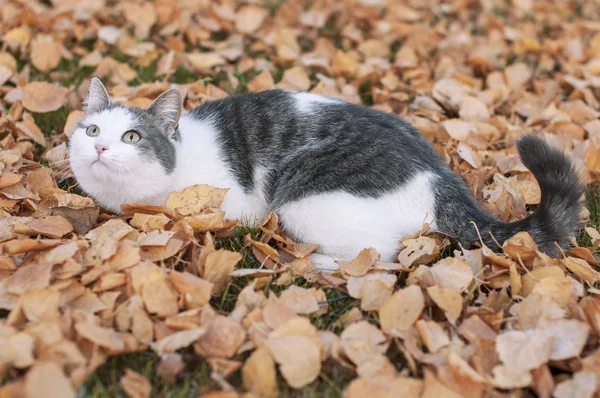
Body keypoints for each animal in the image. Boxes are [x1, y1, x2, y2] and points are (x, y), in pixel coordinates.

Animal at [68, 77, 584, 270]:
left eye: (132, 136)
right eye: (91, 128)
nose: (99, 145)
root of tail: (442, 177)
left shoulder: (234, 206)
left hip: (305, 202)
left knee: (382, 256)